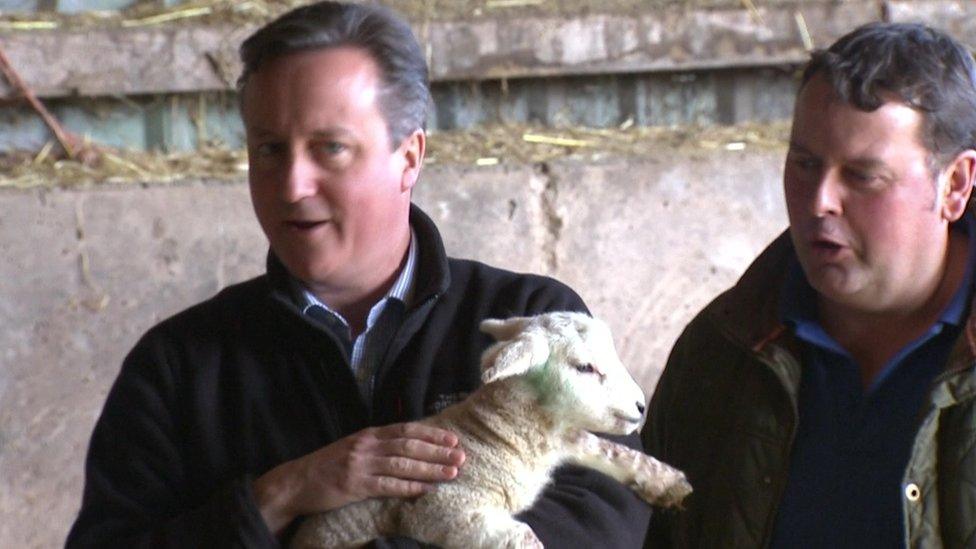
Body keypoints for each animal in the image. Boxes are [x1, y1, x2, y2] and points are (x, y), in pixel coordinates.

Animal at [292, 310, 692, 544]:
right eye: (585, 367)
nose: (641, 407)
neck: (498, 434)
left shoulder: (561, 437)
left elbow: (605, 448)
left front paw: (667, 483)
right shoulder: (441, 507)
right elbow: (524, 538)